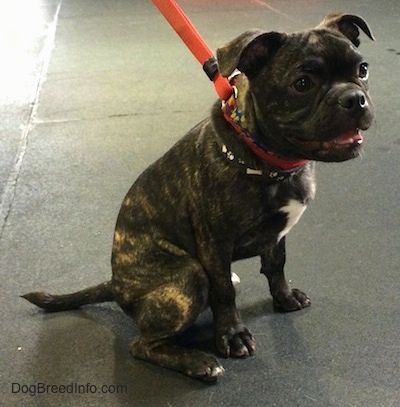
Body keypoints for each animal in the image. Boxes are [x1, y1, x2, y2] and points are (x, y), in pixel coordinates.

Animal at [23, 13, 376, 382]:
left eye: (363, 69)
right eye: (303, 83)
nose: (355, 98)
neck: (267, 160)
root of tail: (116, 285)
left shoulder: (276, 234)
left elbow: (276, 265)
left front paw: (284, 298)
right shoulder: (214, 243)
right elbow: (223, 292)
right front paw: (232, 335)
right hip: (188, 276)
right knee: (142, 344)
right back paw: (197, 362)